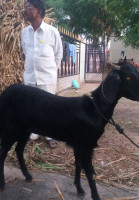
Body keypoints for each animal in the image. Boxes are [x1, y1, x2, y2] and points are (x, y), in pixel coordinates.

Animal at [0, 65, 139, 199]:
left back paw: (28, 176)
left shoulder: (78, 145)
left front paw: (79, 189)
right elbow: (90, 173)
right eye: (128, 77)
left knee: (18, 150)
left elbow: (78, 165)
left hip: (24, 130)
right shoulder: (87, 146)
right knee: (3, 153)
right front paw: (95, 196)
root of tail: (5, 92)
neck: (95, 109)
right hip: (10, 129)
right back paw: (3, 184)